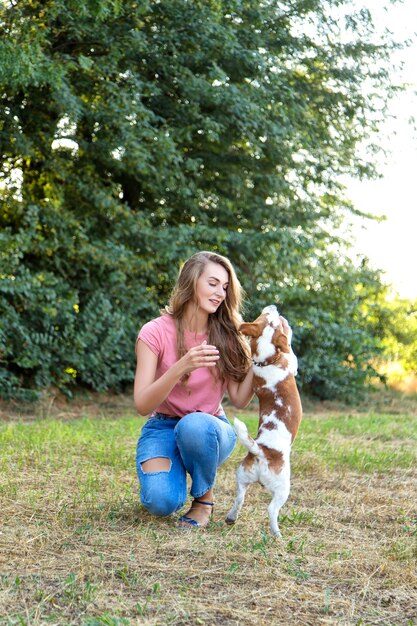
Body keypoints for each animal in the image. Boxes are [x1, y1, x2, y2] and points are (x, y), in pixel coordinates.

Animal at [226, 304, 300, 532]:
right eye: (269, 315)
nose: (274, 305)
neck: (265, 361)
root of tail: (261, 452)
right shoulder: (292, 361)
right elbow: (289, 346)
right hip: (283, 488)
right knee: (271, 510)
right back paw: (277, 533)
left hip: (241, 476)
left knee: (239, 498)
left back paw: (231, 517)